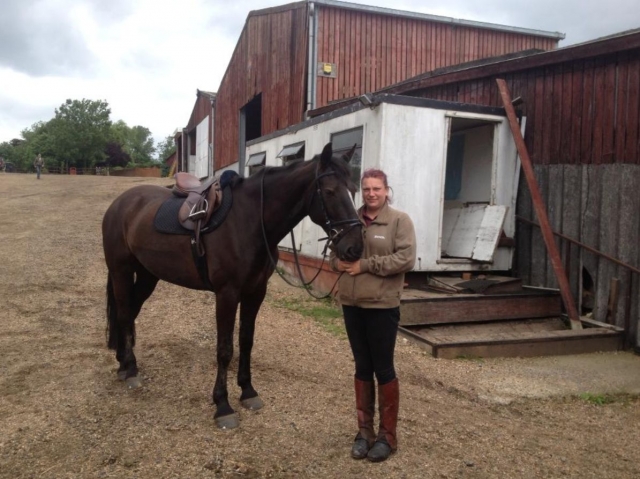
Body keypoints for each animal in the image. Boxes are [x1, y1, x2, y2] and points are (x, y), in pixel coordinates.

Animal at [102, 142, 364, 429]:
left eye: (353, 189)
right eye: (329, 191)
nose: (355, 248)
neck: (249, 221)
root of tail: (119, 204)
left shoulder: (255, 292)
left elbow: (246, 341)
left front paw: (248, 391)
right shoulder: (227, 294)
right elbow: (225, 349)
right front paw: (223, 405)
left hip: (148, 274)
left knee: (130, 312)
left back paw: (123, 363)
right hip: (121, 270)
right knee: (124, 313)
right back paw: (130, 369)